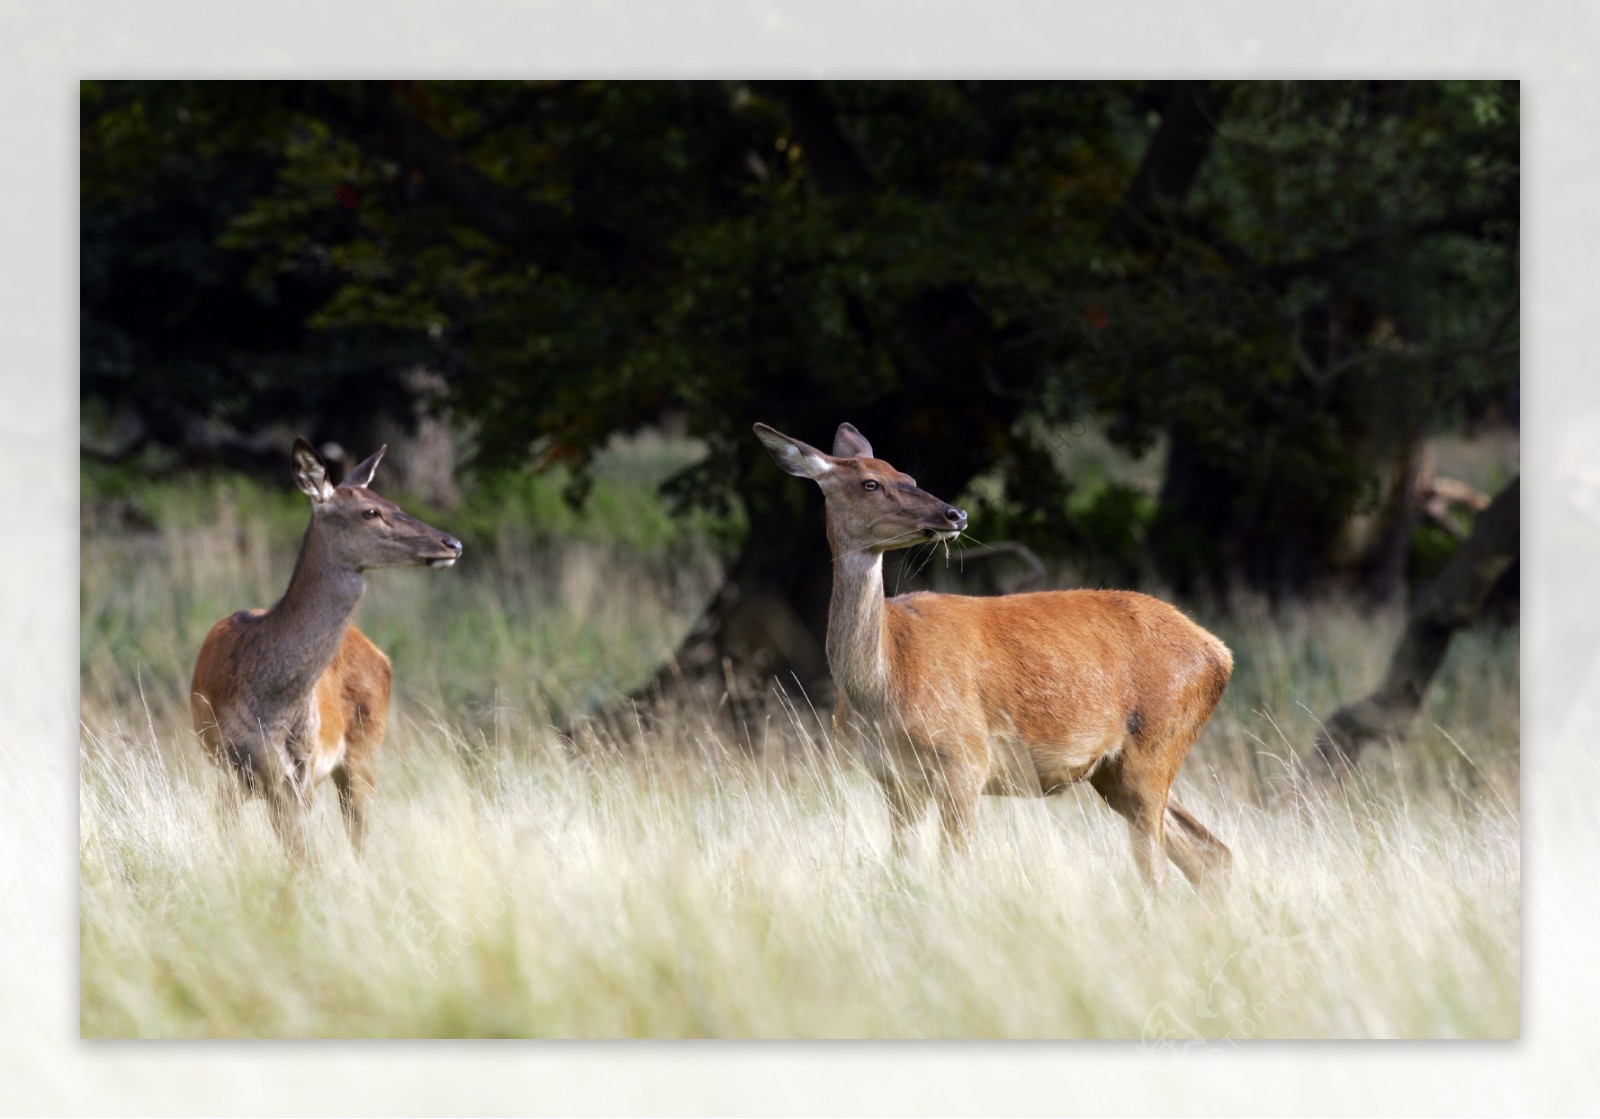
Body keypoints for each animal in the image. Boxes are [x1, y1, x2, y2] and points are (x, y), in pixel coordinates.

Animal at [191, 441, 464, 864]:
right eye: (370, 511)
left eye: (391, 501)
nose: (452, 544)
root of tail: (379, 653)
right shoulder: (231, 766)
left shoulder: (298, 772)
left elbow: (304, 858)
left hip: (365, 749)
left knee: (360, 835)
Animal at [755, 419, 1228, 890]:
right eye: (870, 482)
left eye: (909, 477)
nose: (955, 514)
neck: (887, 685)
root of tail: (1220, 654)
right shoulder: (892, 778)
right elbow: (904, 869)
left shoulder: (966, 758)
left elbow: (954, 868)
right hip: (1115, 771)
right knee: (1207, 850)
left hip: (1153, 749)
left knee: (1160, 867)